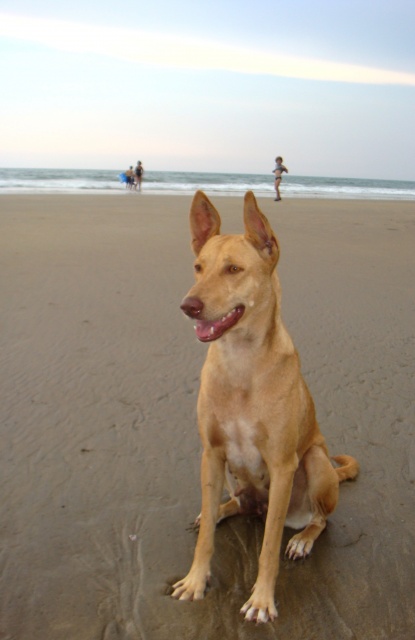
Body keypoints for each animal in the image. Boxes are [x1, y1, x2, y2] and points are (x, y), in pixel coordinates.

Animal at [172, 190, 359, 623]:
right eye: (198, 267)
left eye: (233, 269)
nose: (188, 306)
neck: (241, 364)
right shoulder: (211, 453)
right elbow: (206, 541)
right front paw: (196, 579)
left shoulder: (282, 464)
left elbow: (269, 546)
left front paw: (261, 599)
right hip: (230, 476)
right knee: (232, 504)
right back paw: (215, 510)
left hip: (316, 464)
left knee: (320, 519)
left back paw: (304, 538)